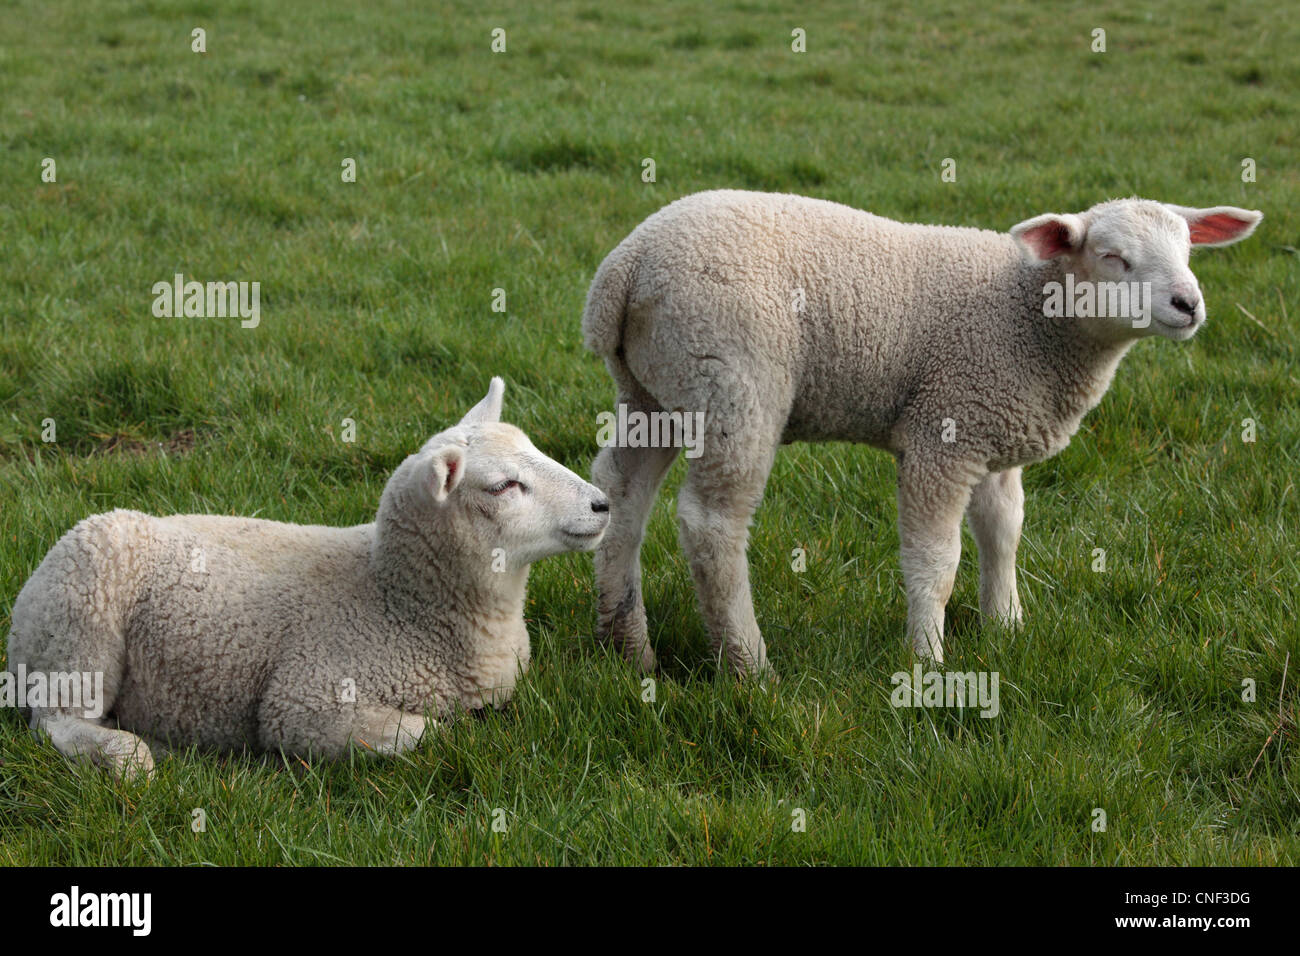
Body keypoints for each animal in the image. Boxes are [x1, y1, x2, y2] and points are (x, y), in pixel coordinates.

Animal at [2, 377, 611, 780]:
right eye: (503, 486)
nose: (603, 505)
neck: (397, 600)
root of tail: (22, 615)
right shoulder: (305, 701)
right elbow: (425, 734)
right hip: (80, 620)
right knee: (55, 722)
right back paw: (128, 756)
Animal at [587, 191, 1258, 671]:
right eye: (1114, 258)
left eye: (1189, 251)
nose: (1188, 304)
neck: (1032, 319)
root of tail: (625, 267)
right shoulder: (945, 433)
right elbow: (937, 560)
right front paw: (929, 660)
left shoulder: (992, 433)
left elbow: (1004, 533)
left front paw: (1006, 627)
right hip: (734, 381)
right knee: (712, 523)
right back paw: (749, 666)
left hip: (655, 391)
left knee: (621, 498)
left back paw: (628, 646)